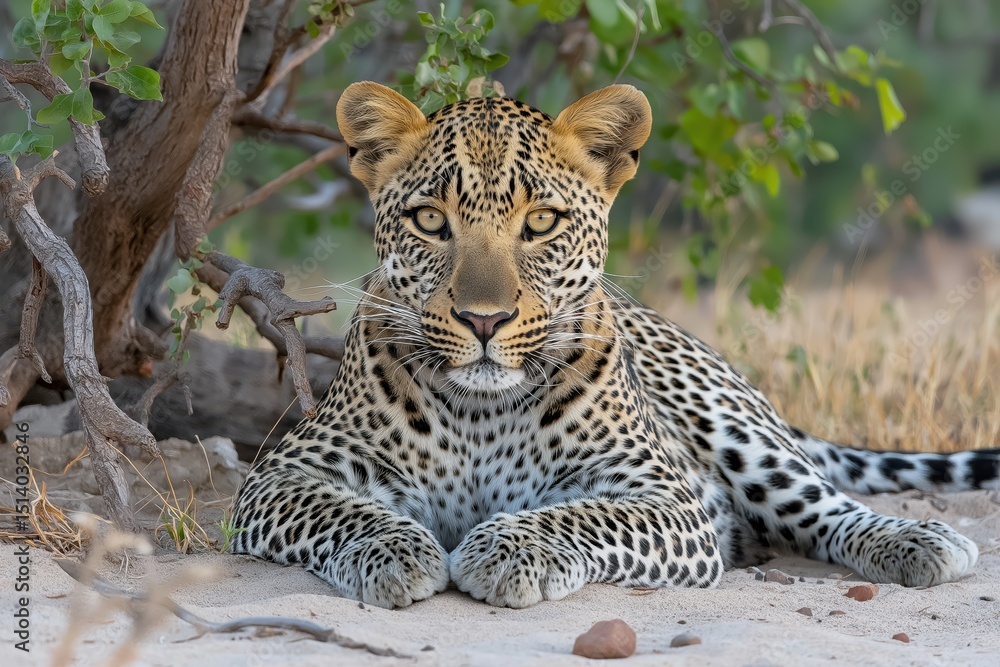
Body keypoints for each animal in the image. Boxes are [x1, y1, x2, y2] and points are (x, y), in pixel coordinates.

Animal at [231, 82, 1000, 609]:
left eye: (541, 222)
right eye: (429, 220)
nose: (484, 320)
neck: (481, 414)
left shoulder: (663, 495)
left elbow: (584, 514)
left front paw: (507, 547)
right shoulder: (281, 477)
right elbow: (342, 509)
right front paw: (396, 551)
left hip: (730, 421)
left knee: (823, 504)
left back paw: (919, 543)